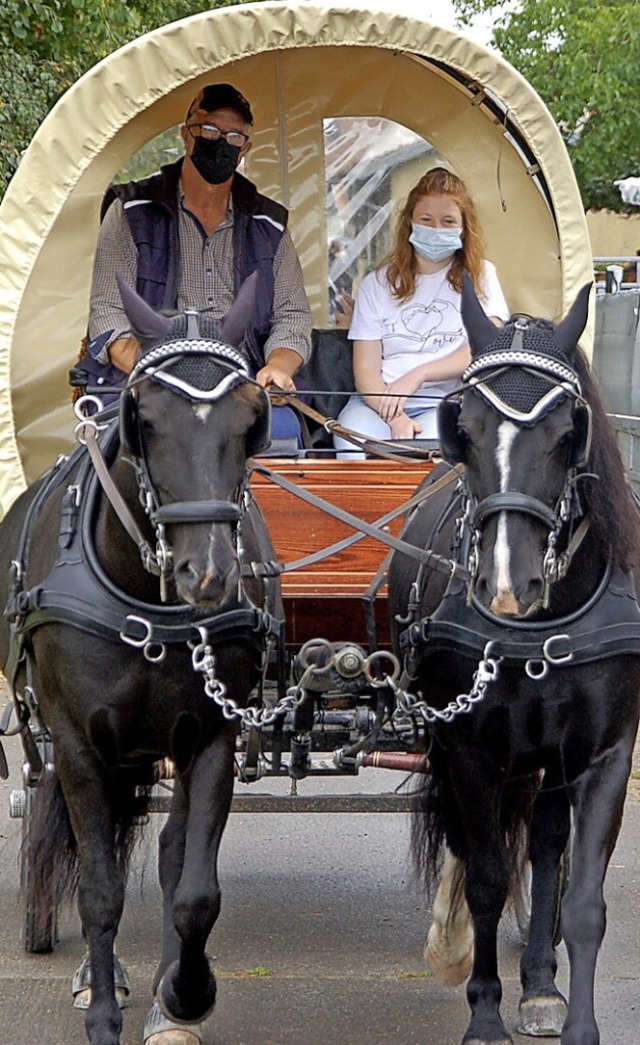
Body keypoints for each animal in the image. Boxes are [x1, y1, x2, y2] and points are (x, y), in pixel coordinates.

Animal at [0, 277, 282, 1045]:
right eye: (144, 418)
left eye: (251, 417)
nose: (208, 574)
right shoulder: (76, 745)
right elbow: (100, 888)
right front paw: (103, 1010)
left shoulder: (210, 738)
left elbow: (192, 890)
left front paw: (184, 995)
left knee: (169, 856)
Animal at [386, 277, 640, 1045]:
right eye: (461, 427)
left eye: (567, 433)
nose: (506, 585)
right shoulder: (466, 745)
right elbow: (488, 877)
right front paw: (483, 1013)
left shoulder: (603, 754)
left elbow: (581, 896)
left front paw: (568, 1013)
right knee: (479, 846)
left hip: (545, 759)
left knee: (547, 843)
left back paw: (540, 982)